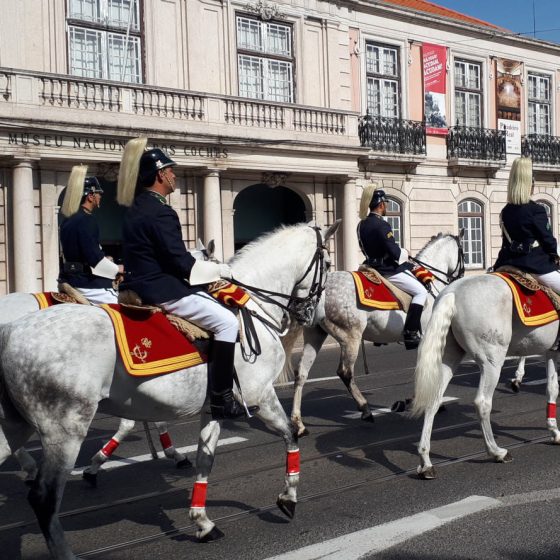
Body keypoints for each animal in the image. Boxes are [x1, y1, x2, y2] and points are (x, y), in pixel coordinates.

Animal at [0, 221, 340, 556]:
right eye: (328, 264)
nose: (317, 317)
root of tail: (10, 330)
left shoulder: (211, 407)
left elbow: (205, 459)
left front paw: (202, 521)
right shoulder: (261, 395)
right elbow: (290, 435)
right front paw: (288, 497)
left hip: (14, 426)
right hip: (65, 430)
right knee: (44, 499)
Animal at [284, 232, 464, 438]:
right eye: (463, 254)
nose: (461, 277)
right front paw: (429, 402)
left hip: (315, 335)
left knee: (301, 373)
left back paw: (298, 424)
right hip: (350, 338)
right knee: (345, 372)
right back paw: (365, 409)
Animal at [410, 274, 560, 480]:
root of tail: (453, 293)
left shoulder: (552, 351)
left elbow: (552, 389)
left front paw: (554, 432)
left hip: (448, 357)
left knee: (433, 401)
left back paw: (426, 462)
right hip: (492, 361)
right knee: (482, 403)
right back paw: (497, 452)